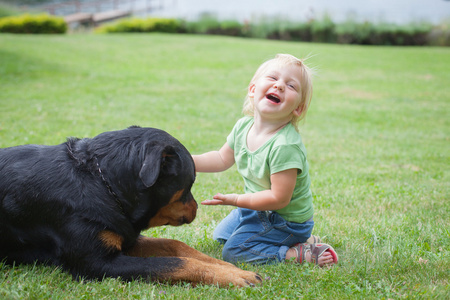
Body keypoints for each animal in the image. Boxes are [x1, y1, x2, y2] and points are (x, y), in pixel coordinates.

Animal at [0, 125, 260, 288]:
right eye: (191, 183)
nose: (197, 207)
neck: (100, 182)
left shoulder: (126, 236)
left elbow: (176, 245)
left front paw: (229, 267)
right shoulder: (98, 264)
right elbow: (174, 263)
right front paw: (230, 275)